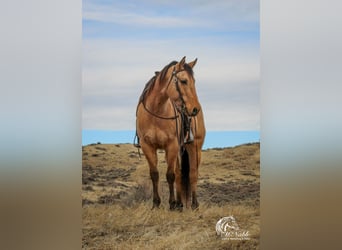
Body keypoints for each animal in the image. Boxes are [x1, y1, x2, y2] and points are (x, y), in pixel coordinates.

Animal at [136, 56, 206, 211]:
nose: (195, 109)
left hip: (195, 147)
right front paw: (156, 203)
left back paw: (194, 204)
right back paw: (180, 204)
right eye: (184, 81)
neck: (156, 111)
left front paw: (171, 203)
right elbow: (155, 174)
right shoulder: (147, 146)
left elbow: (170, 175)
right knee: (180, 175)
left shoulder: (171, 145)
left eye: (194, 81)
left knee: (193, 174)